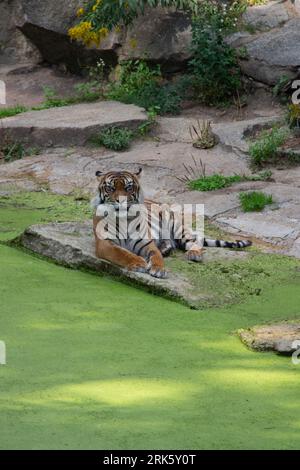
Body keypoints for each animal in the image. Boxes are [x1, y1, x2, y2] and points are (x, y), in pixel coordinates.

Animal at [92, 170, 252, 278]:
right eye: (110, 188)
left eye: (128, 188)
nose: (121, 201)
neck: (124, 219)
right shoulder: (105, 243)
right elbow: (122, 253)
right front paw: (139, 263)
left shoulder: (146, 243)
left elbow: (155, 255)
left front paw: (159, 269)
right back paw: (165, 249)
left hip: (177, 228)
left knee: (196, 239)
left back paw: (193, 253)